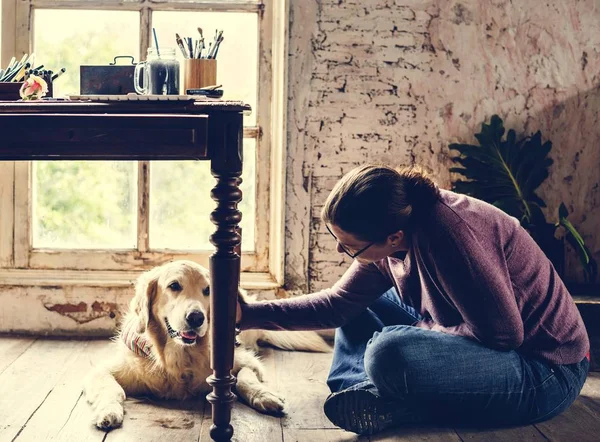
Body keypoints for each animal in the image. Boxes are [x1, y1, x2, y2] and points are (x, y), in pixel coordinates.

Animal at [82, 260, 330, 430]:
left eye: (208, 290)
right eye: (174, 286)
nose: (196, 317)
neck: (181, 358)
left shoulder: (244, 361)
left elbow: (244, 378)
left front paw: (264, 396)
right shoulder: (104, 371)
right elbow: (112, 388)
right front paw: (108, 411)